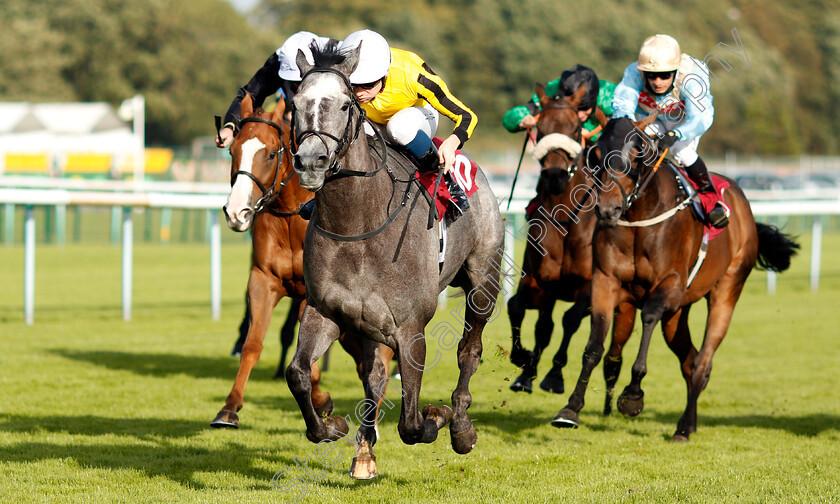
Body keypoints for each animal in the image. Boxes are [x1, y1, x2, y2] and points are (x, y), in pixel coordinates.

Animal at [210, 94, 394, 430]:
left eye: (271, 154)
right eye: (232, 151)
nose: (236, 212)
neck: (291, 218)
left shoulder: (315, 294)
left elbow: (310, 357)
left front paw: (322, 401)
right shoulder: (263, 280)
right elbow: (253, 344)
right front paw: (229, 408)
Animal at [286, 41, 502, 478]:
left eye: (345, 104)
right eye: (296, 102)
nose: (311, 161)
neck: (358, 224)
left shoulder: (411, 328)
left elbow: (412, 422)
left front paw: (439, 417)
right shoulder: (325, 310)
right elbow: (298, 373)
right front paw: (333, 426)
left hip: (483, 284)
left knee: (468, 352)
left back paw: (461, 426)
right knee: (374, 374)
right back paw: (364, 450)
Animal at [506, 83, 636, 406]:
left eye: (576, 127)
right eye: (539, 127)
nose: (554, 175)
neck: (565, 217)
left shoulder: (590, 287)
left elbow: (570, 320)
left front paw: (554, 376)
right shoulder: (540, 282)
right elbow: (520, 310)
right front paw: (524, 363)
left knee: (615, 351)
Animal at [552, 118, 800, 440]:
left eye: (637, 157)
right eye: (596, 157)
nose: (608, 210)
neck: (639, 218)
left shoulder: (669, 285)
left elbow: (648, 315)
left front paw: (633, 396)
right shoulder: (605, 282)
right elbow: (594, 346)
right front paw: (571, 408)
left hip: (727, 289)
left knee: (703, 360)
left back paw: (682, 427)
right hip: (678, 314)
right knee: (690, 360)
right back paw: (690, 422)